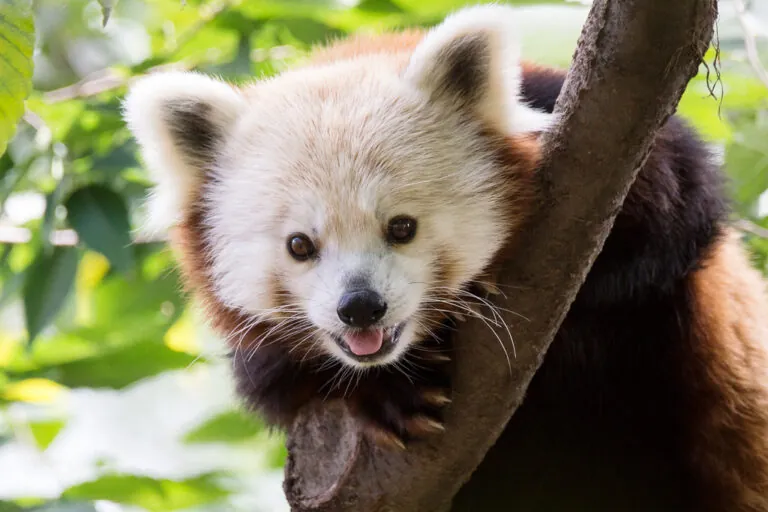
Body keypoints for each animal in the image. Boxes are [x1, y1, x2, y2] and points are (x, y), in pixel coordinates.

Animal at [123, 5, 768, 512]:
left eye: (401, 227)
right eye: (300, 245)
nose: (361, 308)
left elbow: (672, 219)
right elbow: (277, 378)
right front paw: (390, 394)